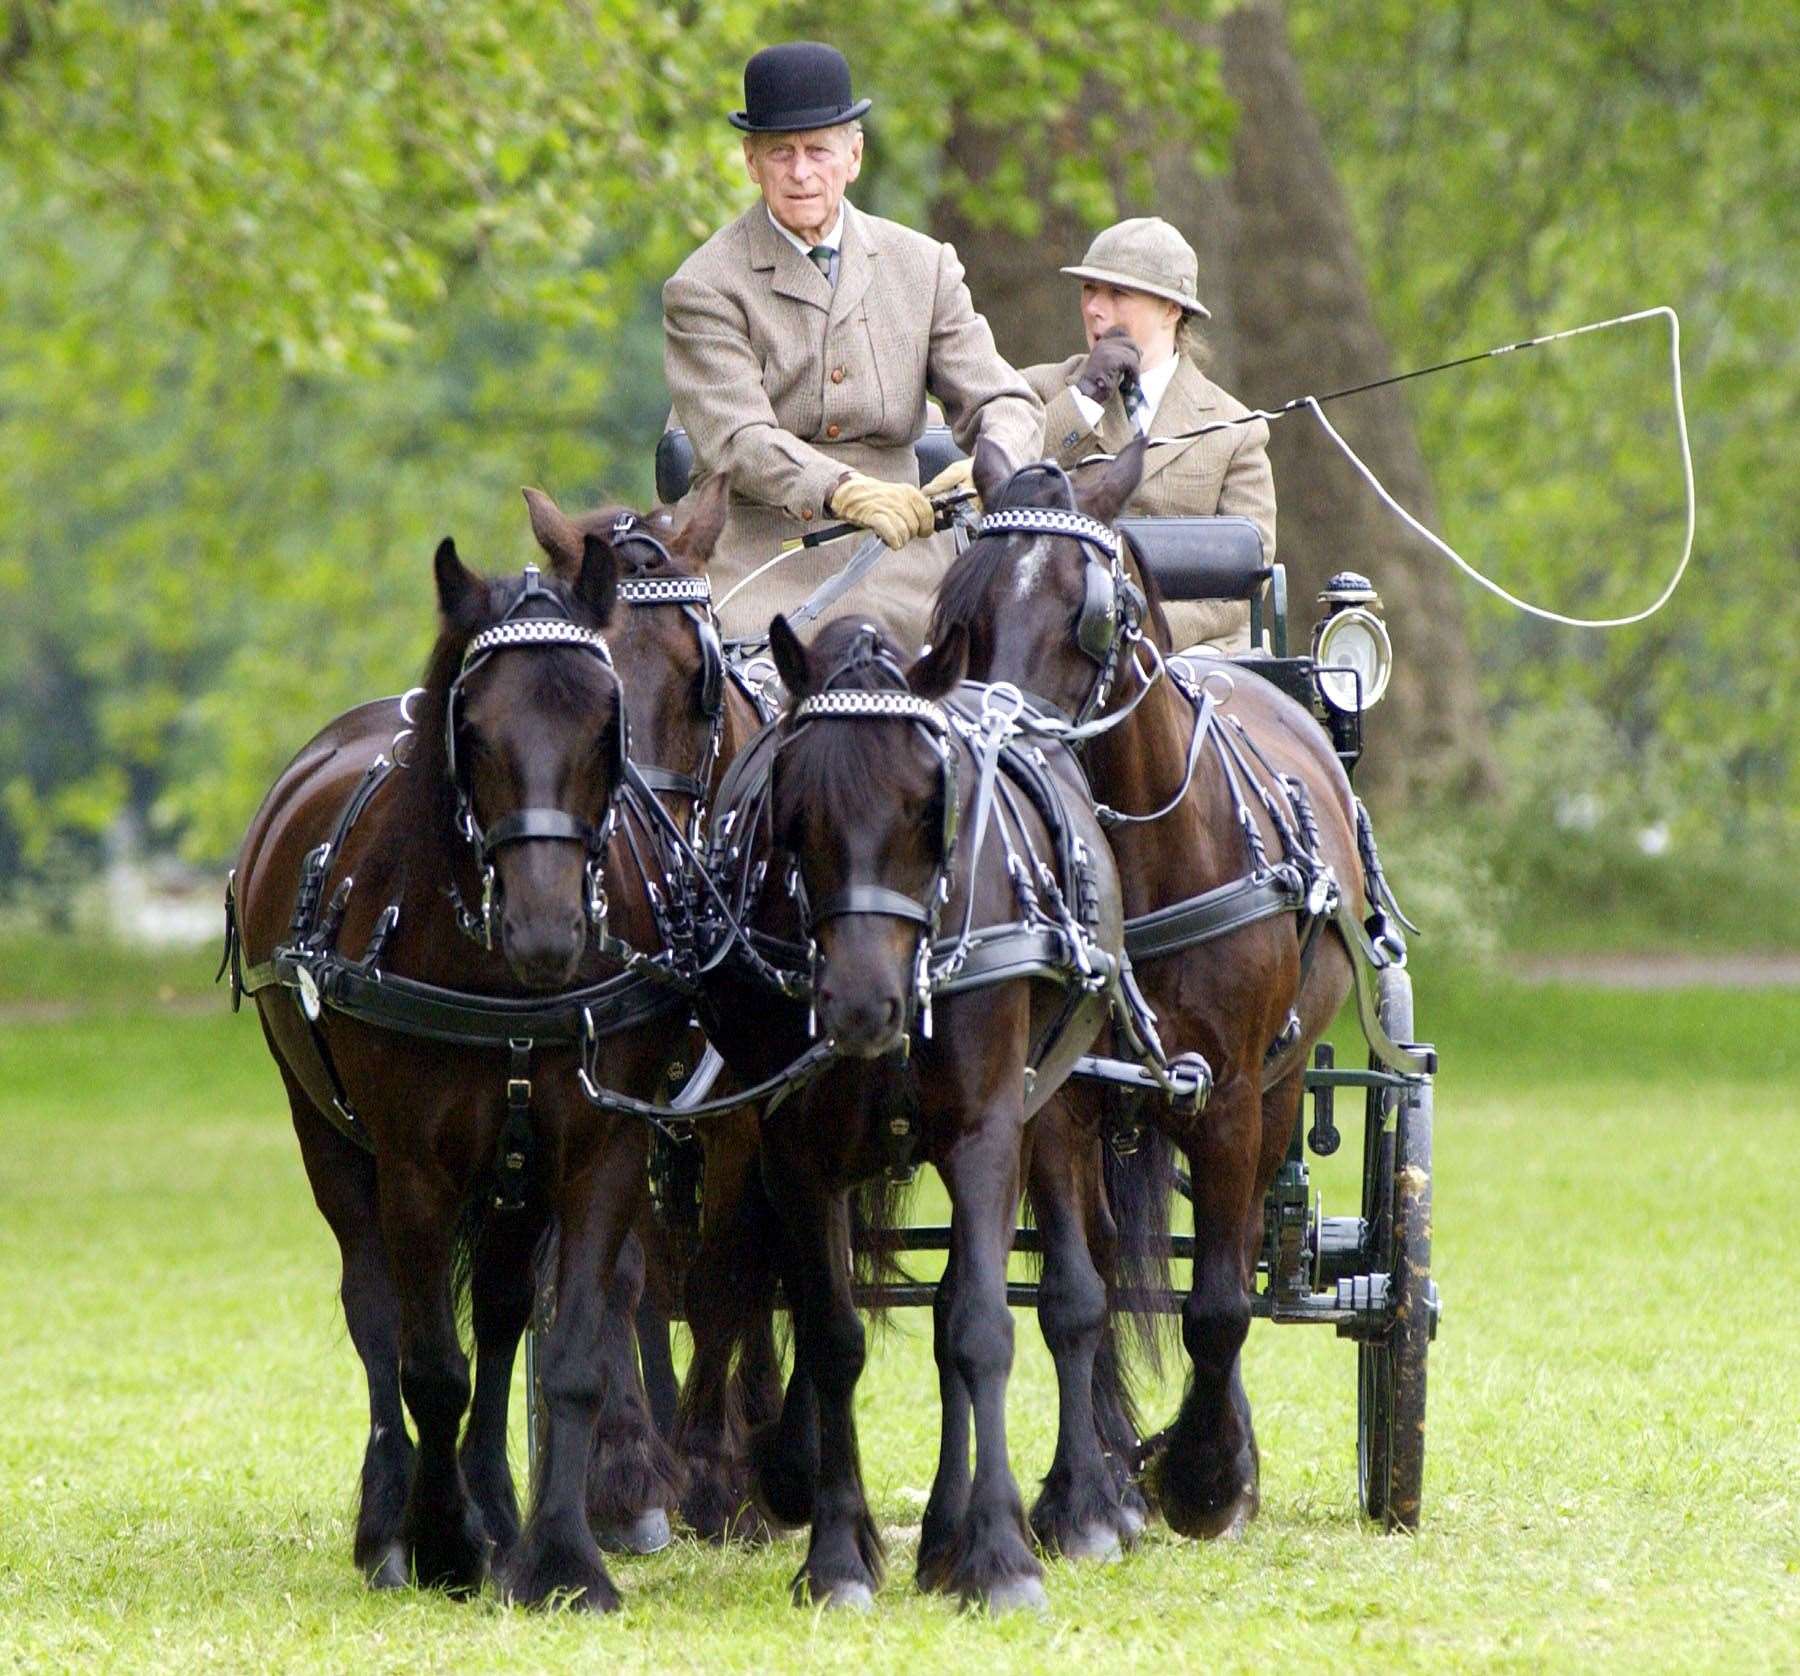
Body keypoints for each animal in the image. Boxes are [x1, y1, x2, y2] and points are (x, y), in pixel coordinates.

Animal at [936, 439, 1353, 1540]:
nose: (996, 742)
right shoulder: (1057, 1101)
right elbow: (1075, 1298)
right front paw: (1086, 1497)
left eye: (1091, 614)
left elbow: (1220, 1302)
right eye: (962, 607)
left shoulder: (1234, 1093)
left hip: (1282, 1086)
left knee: (1245, 1247)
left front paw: (1206, 1474)